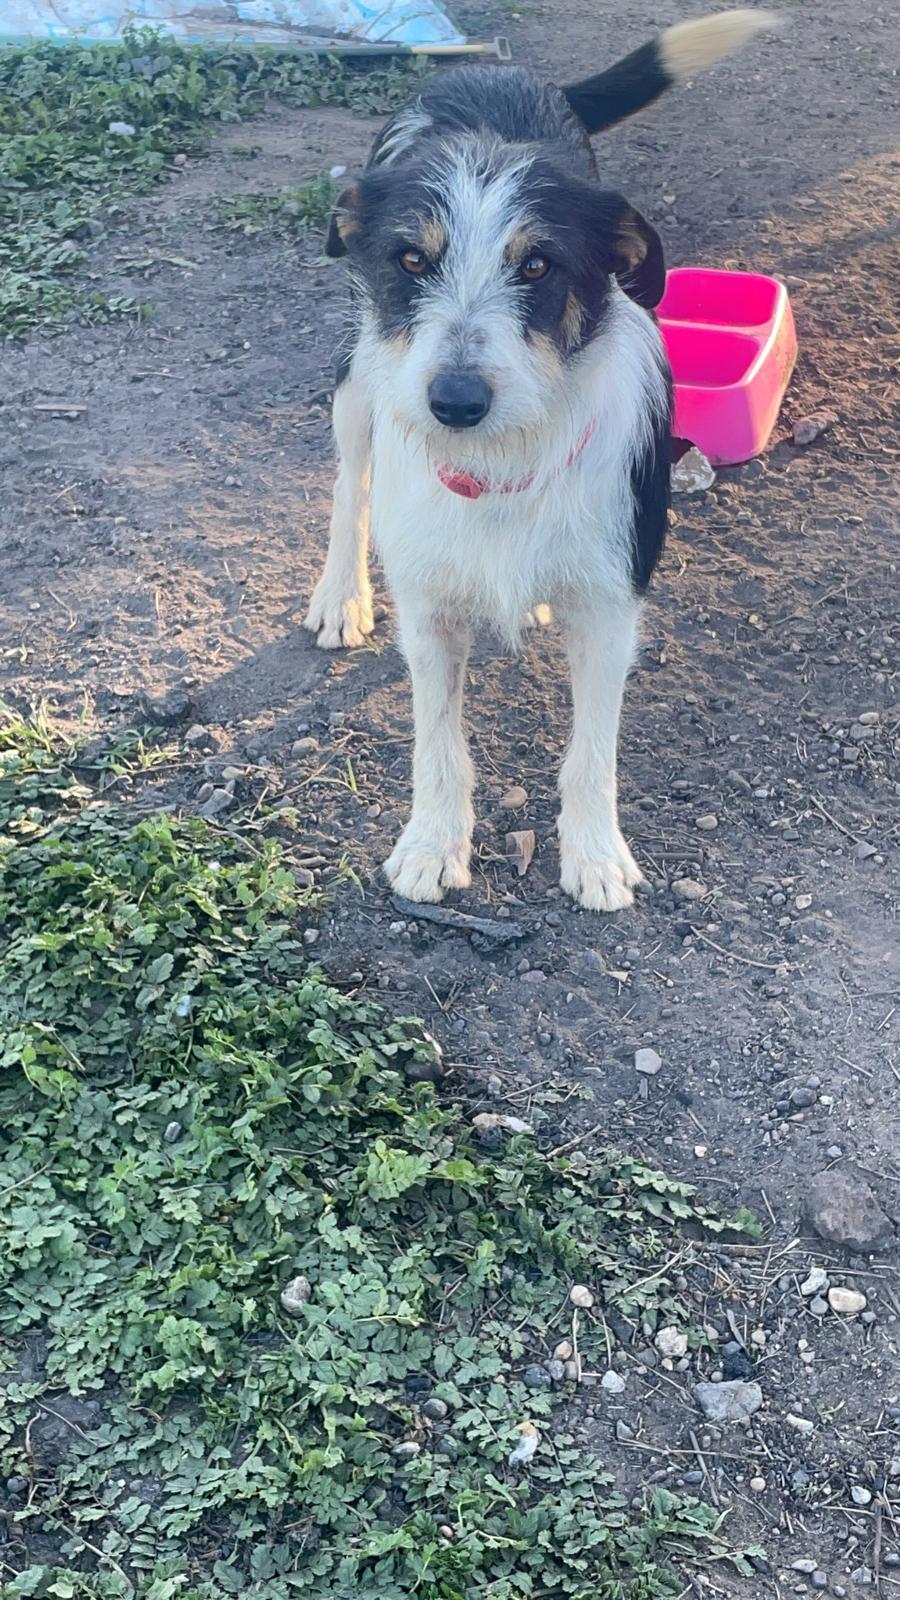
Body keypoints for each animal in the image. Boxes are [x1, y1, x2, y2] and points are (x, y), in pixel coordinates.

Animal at [305, 10, 774, 911]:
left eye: (537, 265)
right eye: (411, 260)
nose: (454, 400)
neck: (500, 461)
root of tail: (488, 76)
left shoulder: (613, 606)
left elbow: (592, 752)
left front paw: (594, 854)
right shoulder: (430, 610)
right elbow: (437, 742)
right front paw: (431, 844)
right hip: (357, 379)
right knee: (351, 482)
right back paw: (340, 595)